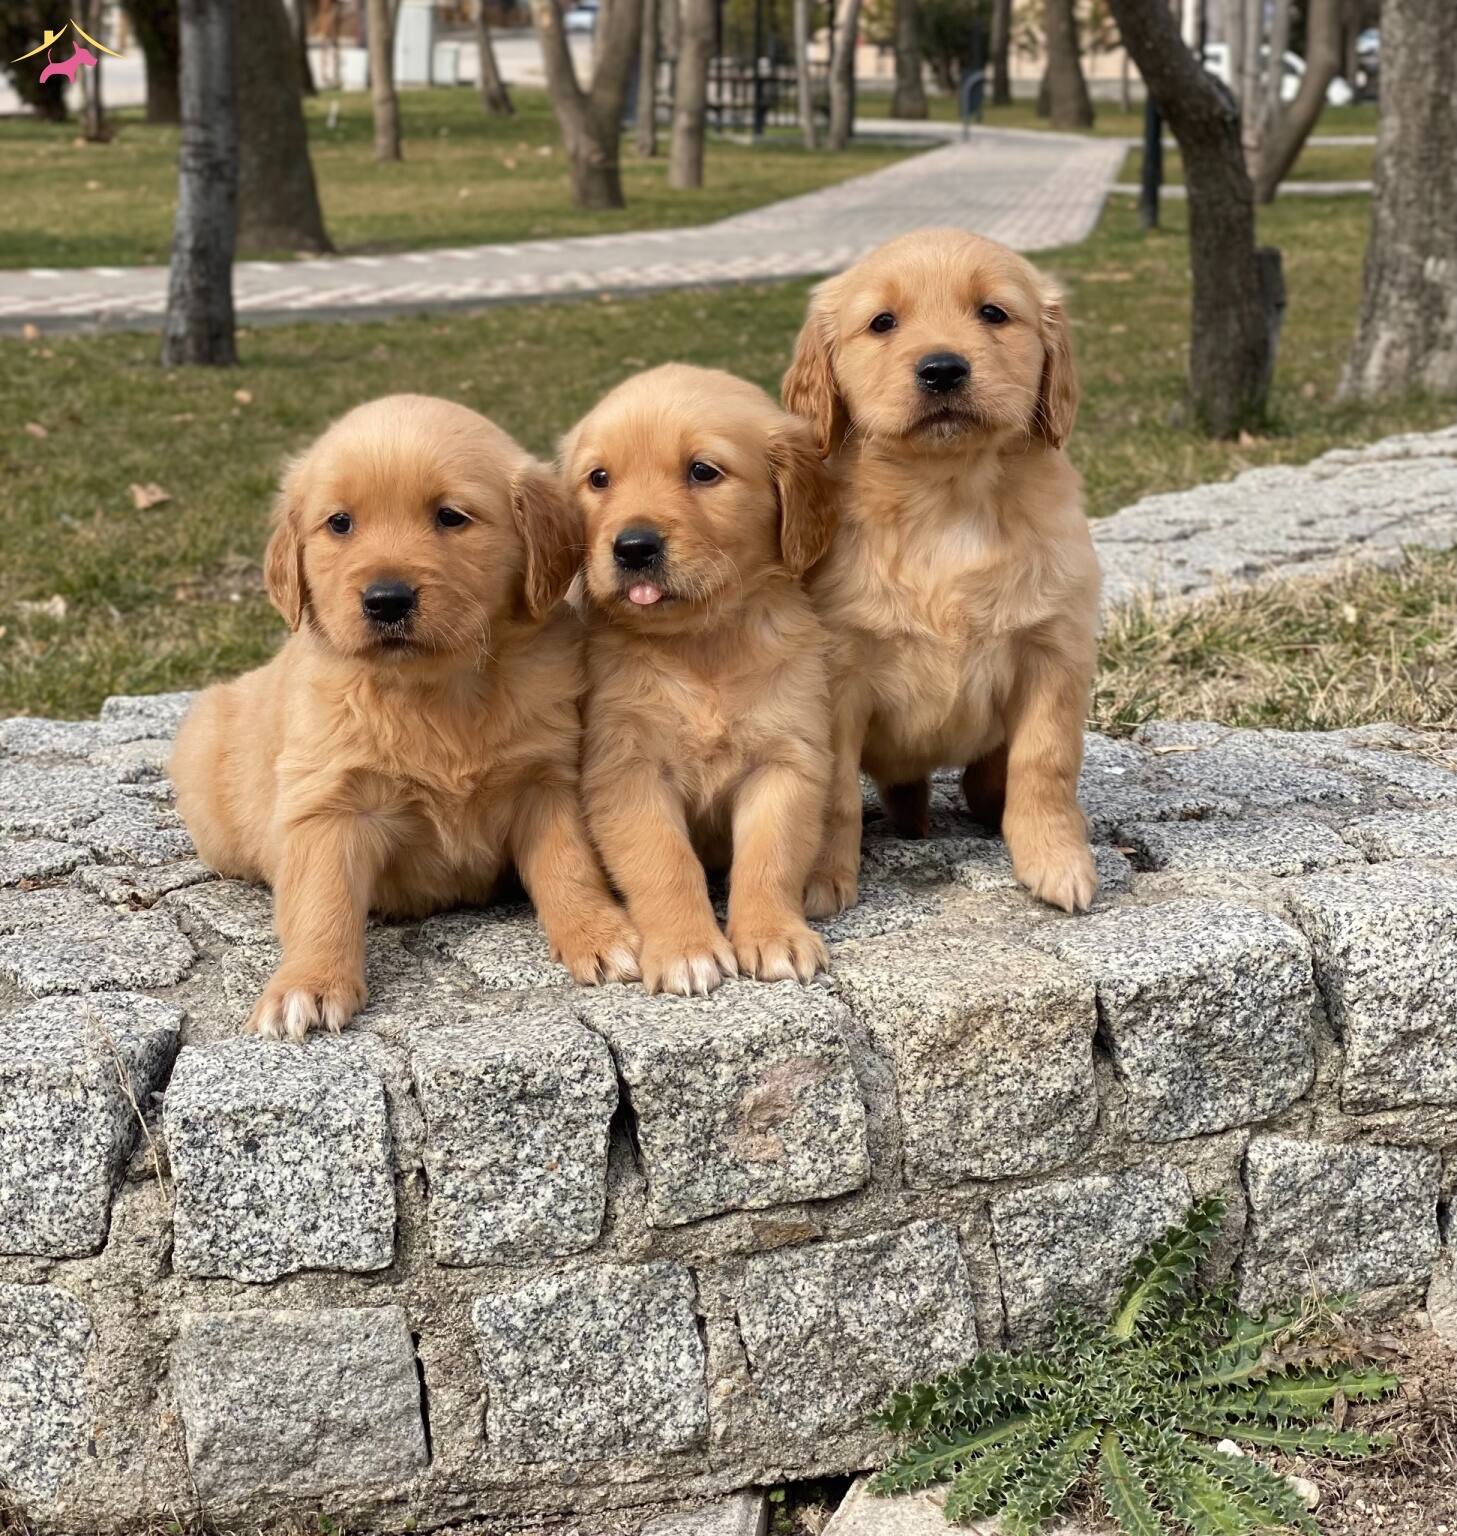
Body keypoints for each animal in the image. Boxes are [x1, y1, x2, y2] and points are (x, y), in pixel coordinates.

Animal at [170, 395, 639, 1040]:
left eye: (450, 517)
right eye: (340, 524)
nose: (386, 600)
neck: (435, 693)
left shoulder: (547, 778)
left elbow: (569, 864)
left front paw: (597, 933)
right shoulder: (329, 803)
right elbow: (322, 900)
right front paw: (307, 984)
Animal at [563, 364, 837, 996]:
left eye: (703, 471)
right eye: (599, 479)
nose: (633, 546)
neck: (701, 645)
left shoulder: (787, 760)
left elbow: (769, 858)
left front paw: (773, 935)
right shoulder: (625, 768)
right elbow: (664, 861)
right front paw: (686, 949)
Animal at [782, 227, 1101, 917]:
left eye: (993, 313)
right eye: (882, 322)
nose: (943, 369)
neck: (946, 499)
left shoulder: (1054, 650)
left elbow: (1046, 762)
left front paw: (1057, 858)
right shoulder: (836, 671)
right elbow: (832, 790)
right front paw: (820, 878)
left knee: (987, 779)